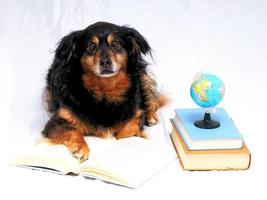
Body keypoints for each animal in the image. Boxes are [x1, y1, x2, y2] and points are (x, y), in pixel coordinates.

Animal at [42, 21, 168, 162]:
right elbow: (73, 130)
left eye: (115, 44)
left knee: (151, 99)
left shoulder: (136, 114)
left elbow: (127, 130)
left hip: (142, 77)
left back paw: (151, 116)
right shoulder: (56, 121)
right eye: (91, 46)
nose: (105, 62)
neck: (105, 90)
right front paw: (81, 148)